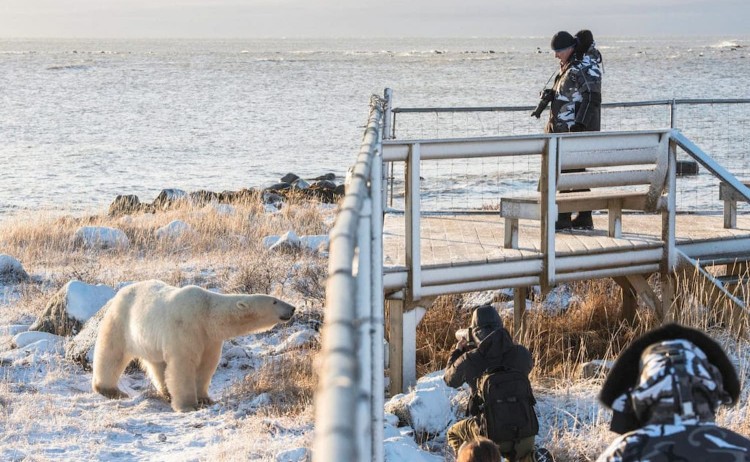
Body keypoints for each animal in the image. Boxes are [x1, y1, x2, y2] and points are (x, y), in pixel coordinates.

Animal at [91, 279, 295, 412]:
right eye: (274, 301)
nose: (292, 308)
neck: (206, 313)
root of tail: (118, 294)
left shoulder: (209, 338)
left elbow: (206, 366)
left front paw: (205, 399)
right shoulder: (186, 329)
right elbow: (183, 365)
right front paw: (188, 405)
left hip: (149, 340)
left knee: (157, 365)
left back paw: (166, 392)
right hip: (120, 322)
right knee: (111, 354)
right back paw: (110, 390)